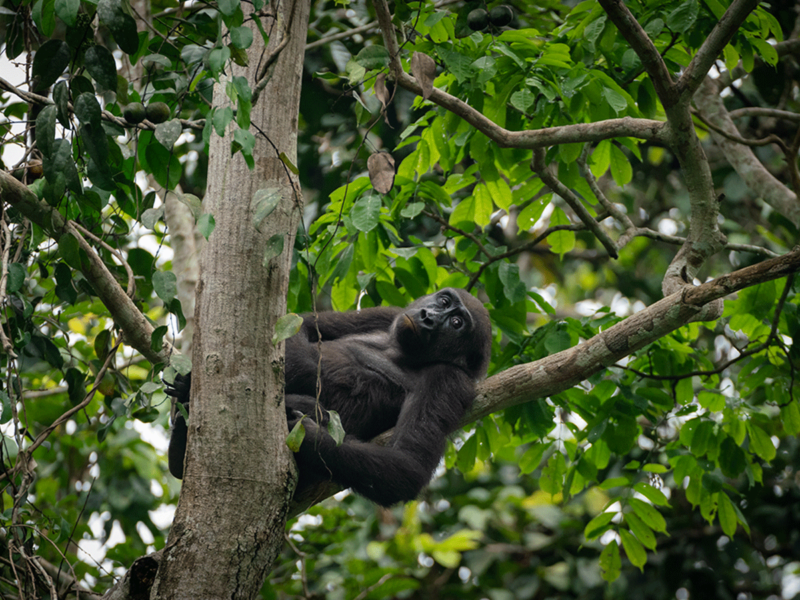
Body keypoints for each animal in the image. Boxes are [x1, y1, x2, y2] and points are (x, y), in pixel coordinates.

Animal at [167, 286, 494, 506]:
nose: (428, 317)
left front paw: (309, 436)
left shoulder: (449, 380)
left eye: (456, 323)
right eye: (443, 301)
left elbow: (406, 467)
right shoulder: (389, 314)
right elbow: (302, 324)